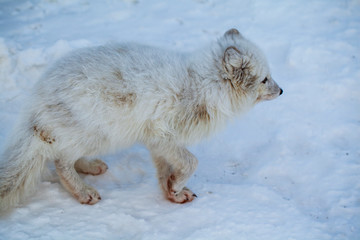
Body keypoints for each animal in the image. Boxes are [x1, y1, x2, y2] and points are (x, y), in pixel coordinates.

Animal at [0, 28, 282, 212]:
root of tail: (37, 99)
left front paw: (172, 192)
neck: (202, 85)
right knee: (60, 161)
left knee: (66, 156)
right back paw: (83, 192)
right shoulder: (162, 135)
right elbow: (192, 162)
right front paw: (176, 186)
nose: (281, 91)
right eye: (265, 79)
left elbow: (165, 170)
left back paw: (90, 167)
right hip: (100, 135)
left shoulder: (156, 142)